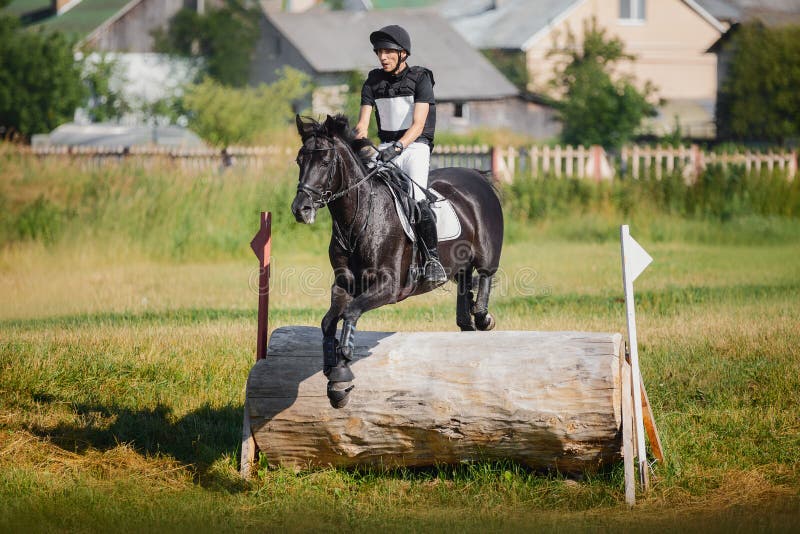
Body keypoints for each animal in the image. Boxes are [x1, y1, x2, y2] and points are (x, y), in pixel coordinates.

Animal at [290, 115, 504, 410]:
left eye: (325, 162)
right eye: (299, 160)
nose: (301, 209)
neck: (357, 220)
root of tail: (476, 175)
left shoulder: (389, 287)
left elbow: (350, 314)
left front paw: (341, 374)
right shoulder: (344, 284)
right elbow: (328, 322)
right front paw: (332, 373)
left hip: (487, 253)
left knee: (484, 277)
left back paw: (483, 317)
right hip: (458, 265)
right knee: (464, 288)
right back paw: (467, 320)